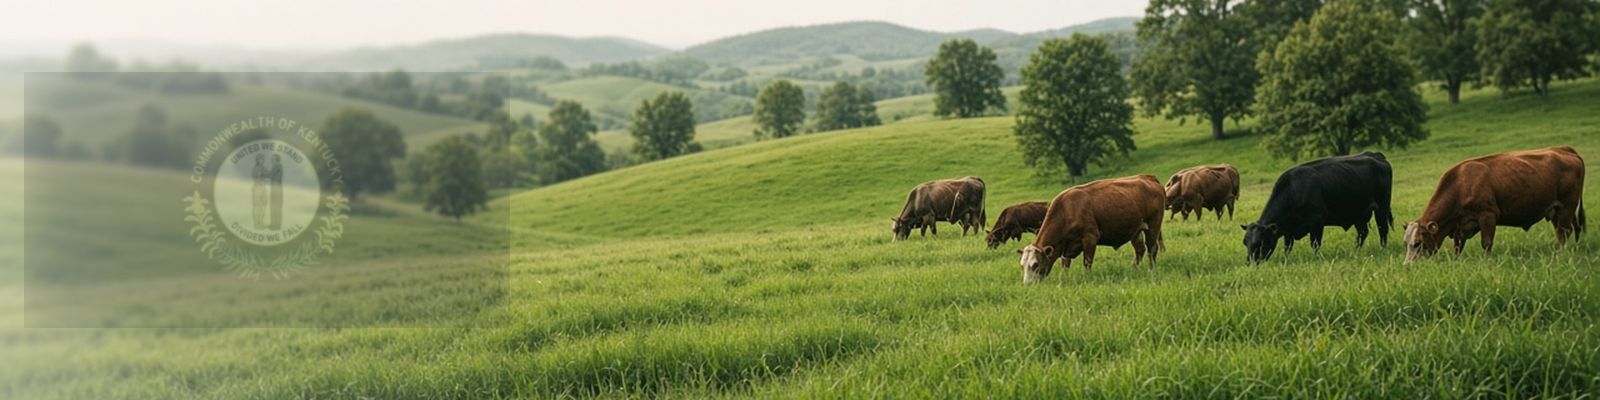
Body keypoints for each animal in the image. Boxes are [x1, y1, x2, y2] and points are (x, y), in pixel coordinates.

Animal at [1017, 175, 1164, 283]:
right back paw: (1133, 268)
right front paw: (1064, 278)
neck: (1067, 210)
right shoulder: (1066, 247)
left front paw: (1087, 278)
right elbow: (1065, 264)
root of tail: (1147, 177)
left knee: (1152, 249)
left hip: (1153, 226)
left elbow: (1087, 262)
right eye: (1022, 265)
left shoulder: (1090, 238)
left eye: (1035, 264)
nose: (1027, 284)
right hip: (1135, 230)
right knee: (1140, 250)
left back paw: (1151, 270)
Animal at [1241, 152, 1393, 263]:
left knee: (1383, 229)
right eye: (1245, 242)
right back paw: (1355, 251)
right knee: (1362, 233)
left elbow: (1315, 244)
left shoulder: (1317, 221)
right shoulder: (1288, 230)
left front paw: (1317, 258)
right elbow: (1287, 247)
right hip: (1358, 213)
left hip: (1382, 207)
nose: (1251, 263)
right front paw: (1286, 259)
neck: (1294, 189)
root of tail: (1375, 155)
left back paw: (1383, 249)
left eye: (1260, 243)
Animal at [1402, 146, 1586, 263]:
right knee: (1571, 229)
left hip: (1567, 207)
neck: (1462, 183)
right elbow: (1458, 247)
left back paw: (1561, 253)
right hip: (1557, 210)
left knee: (1564, 232)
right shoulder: (1461, 226)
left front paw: (1487, 262)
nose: (1408, 265)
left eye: (1417, 243)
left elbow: (1486, 243)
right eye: (1405, 243)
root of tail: (1565, 150)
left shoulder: (1488, 216)